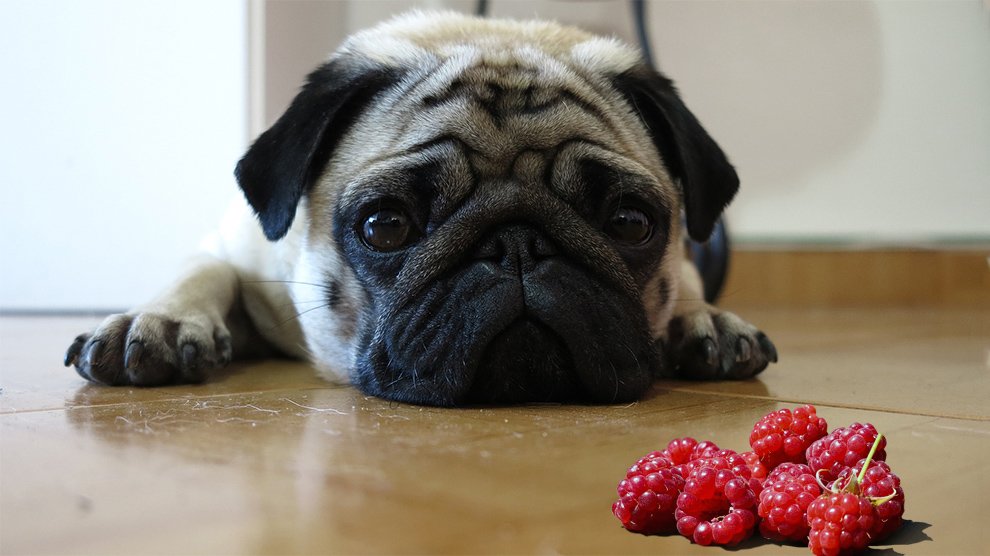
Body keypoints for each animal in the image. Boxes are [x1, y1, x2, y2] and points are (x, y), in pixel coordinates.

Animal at [64, 10, 776, 406]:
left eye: (629, 223)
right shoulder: (240, 250)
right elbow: (205, 271)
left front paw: (701, 319)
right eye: (386, 226)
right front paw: (158, 320)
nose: (518, 245)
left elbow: (686, 280)